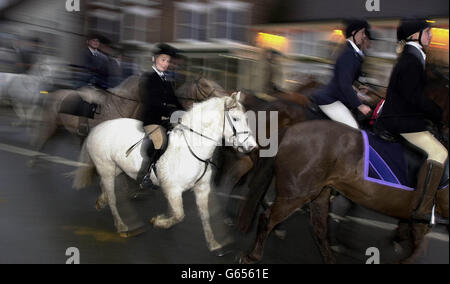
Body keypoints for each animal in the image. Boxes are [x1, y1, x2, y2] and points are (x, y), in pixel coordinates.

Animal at [72, 93, 258, 253]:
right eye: (236, 119)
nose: (252, 146)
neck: (194, 148)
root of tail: (97, 129)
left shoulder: (202, 189)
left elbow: (205, 216)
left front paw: (213, 243)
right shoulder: (173, 189)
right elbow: (179, 215)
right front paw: (159, 222)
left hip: (116, 169)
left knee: (105, 187)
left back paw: (101, 202)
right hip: (107, 168)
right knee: (112, 198)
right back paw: (121, 225)